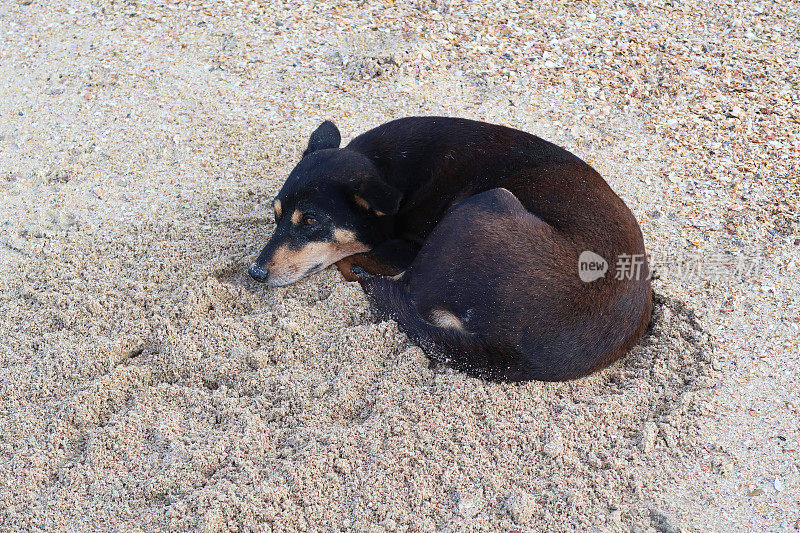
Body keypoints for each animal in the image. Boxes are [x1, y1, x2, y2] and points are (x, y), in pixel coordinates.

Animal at [248, 118, 648, 380]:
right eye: (275, 215)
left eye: (311, 221)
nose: (254, 272)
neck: (387, 169)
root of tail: (517, 353)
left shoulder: (407, 248)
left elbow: (352, 257)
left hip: (484, 204)